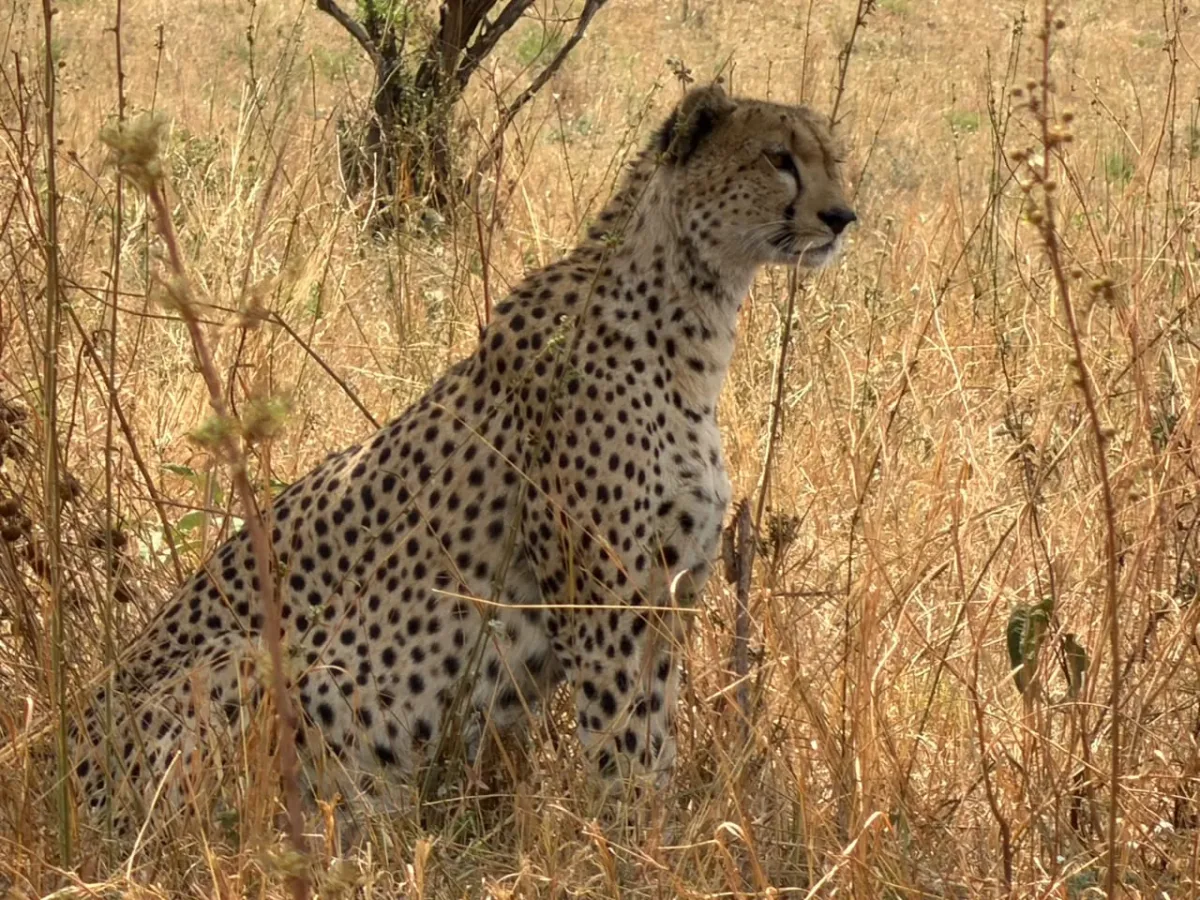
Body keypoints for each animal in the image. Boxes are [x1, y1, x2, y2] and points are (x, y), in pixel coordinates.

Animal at [69, 83, 856, 834]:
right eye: (777, 158)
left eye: (832, 157)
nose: (842, 216)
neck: (692, 314)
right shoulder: (603, 603)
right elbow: (625, 753)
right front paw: (640, 847)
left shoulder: (667, 598)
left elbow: (653, 744)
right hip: (244, 664)